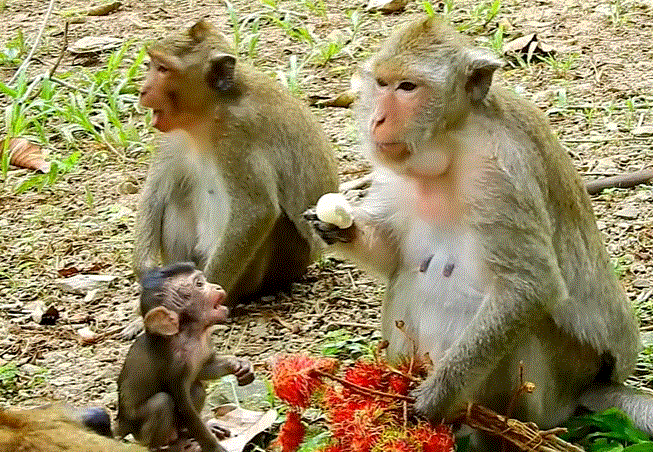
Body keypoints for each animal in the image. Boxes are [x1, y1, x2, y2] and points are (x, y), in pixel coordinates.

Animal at [117, 262, 255, 451]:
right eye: (199, 284)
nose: (217, 287)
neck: (188, 334)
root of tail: (120, 423)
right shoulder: (174, 363)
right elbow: (184, 406)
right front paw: (214, 447)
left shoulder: (204, 343)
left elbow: (204, 369)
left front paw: (239, 365)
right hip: (138, 433)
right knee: (162, 402)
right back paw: (163, 446)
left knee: (196, 389)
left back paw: (186, 433)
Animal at [132, 20, 338, 308]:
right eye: (152, 64)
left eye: (163, 69)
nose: (143, 90)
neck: (209, 113)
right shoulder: (171, 135)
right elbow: (154, 194)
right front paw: (148, 276)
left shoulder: (239, 133)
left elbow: (257, 211)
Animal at [305, 15, 653, 442]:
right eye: (383, 84)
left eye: (408, 88)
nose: (378, 119)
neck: (449, 144)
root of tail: (593, 384)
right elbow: (390, 252)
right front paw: (337, 227)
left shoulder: (501, 178)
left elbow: (531, 287)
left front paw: (435, 396)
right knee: (408, 275)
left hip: (553, 389)